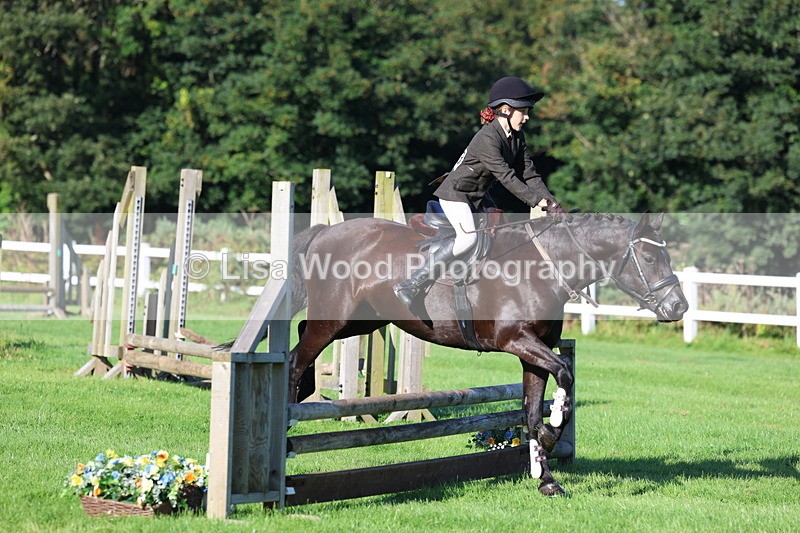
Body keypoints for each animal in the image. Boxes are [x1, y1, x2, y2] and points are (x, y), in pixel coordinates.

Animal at [286, 211, 688, 496]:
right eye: (649, 257)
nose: (679, 307)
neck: (545, 266)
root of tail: (326, 232)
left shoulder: (532, 352)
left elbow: (531, 409)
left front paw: (546, 477)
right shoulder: (517, 340)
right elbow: (564, 374)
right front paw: (553, 428)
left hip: (361, 321)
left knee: (301, 337)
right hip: (334, 318)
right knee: (296, 358)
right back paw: (288, 420)